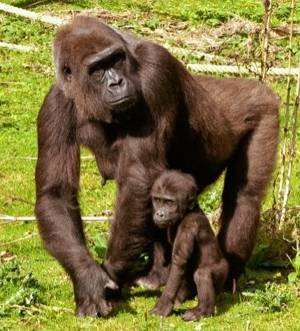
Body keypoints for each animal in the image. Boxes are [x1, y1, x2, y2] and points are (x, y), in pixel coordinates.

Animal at [150, 171, 227, 322]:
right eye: (158, 200)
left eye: (169, 202)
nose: (159, 213)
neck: (188, 212)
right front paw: (176, 298)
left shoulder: (189, 225)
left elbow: (178, 262)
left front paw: (164, 304)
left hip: (222, 272)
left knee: (202, 274)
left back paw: (203, 311)